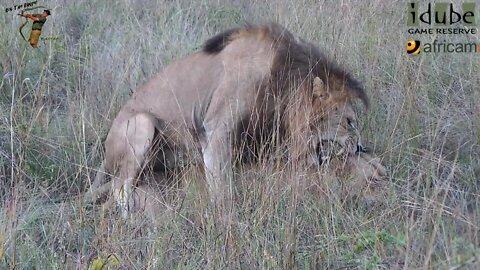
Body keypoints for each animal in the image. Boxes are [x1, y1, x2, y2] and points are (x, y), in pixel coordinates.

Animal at [89, 23, 382, 219]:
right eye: (349, 122)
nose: (361, 148)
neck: (282, 81)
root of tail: (105, 150)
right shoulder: (217, 127)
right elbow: (221, 183)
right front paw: (226, 220)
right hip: (142, 123)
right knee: (121, 186)